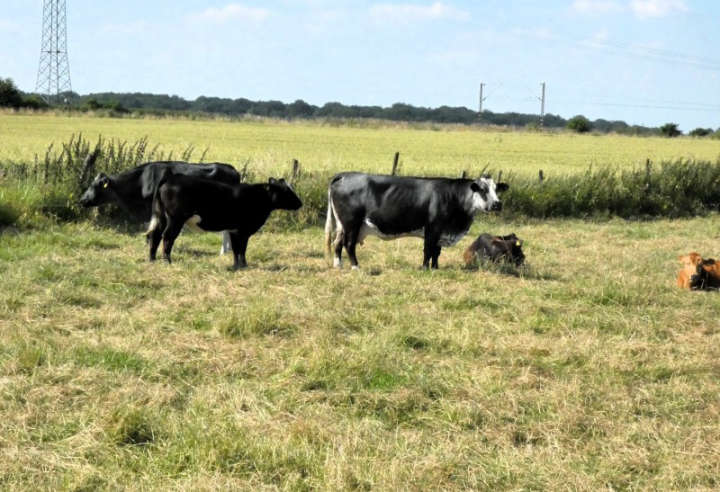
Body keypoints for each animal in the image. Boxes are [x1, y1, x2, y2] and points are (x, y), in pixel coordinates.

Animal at [148, 172, 302, 270]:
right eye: (286, 191)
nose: (300, 203)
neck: (257, 196)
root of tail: (172, 178)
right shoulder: (243, 231)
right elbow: (242, 249)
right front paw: (244, 265)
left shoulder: (233, 230)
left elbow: (235, 249)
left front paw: (236, 266)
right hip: (175, 219)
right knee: (167, 237)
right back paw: (167, 261)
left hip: (162, 217)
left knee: (155, 235)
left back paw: (152, 259)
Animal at [324, 173, 509, 269]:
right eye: (483, 190)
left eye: (496, 189)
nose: (497, 204)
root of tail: (345, 175)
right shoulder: (433, 228)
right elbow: (428, 250)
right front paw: (425, 268)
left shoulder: (441, 231)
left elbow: (436, 252)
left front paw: (435, 268)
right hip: (351, 223)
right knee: (349, 244)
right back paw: (356, 266)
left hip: (342, 225)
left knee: (337, 243)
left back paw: (338, 265)